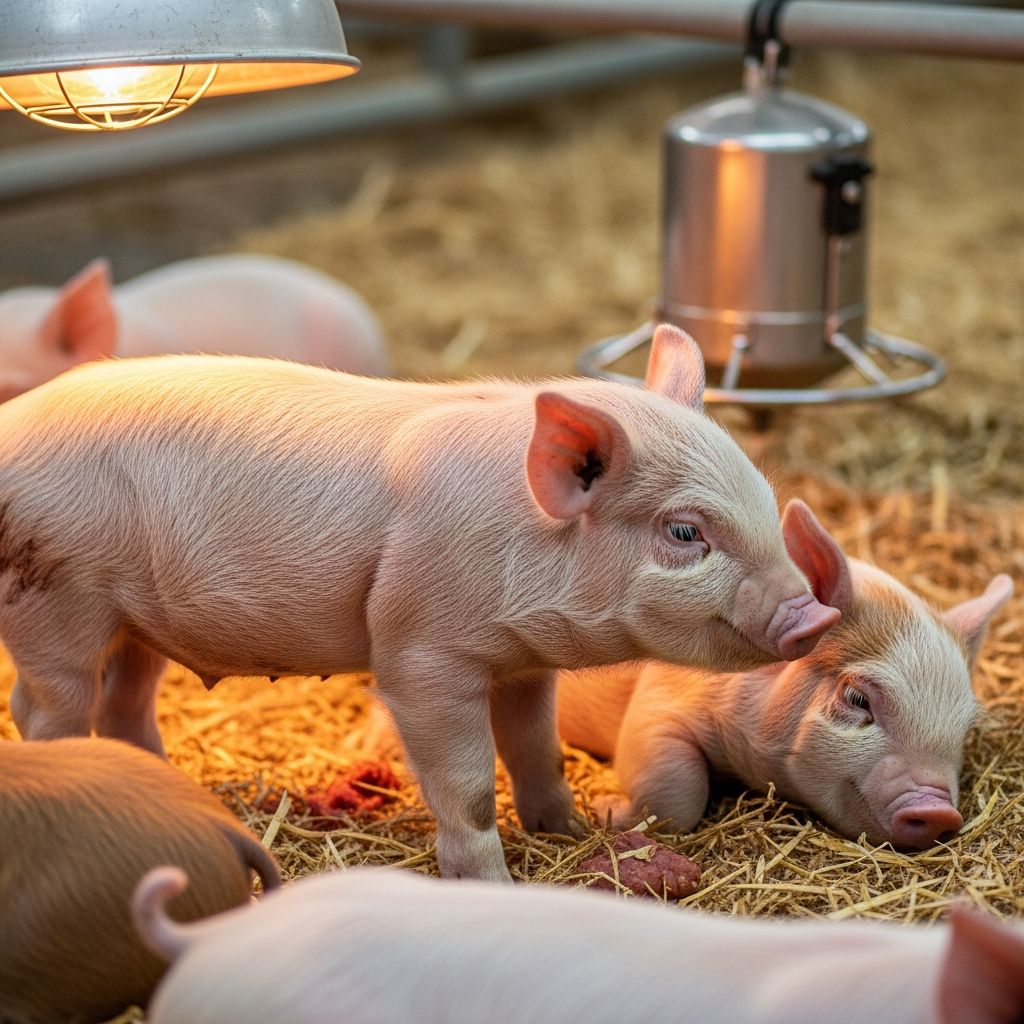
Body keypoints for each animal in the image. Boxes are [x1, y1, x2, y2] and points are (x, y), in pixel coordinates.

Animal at [0, 324, 839, 881]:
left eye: (763, 498)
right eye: (685, 531)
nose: (815, 614)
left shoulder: (523, 664)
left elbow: (536, 748)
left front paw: (569, 831)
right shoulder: (422, 655)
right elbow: (466, 788)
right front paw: (498, 883)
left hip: (134, 622)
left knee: (125, 702)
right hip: (54, 602)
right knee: (43, 710)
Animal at [558, 499, 1015, 850]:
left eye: (965, 727)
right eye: (857, 698)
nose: (938, 811)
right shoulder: (659, 704)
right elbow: (677, 791)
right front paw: (602, 808)